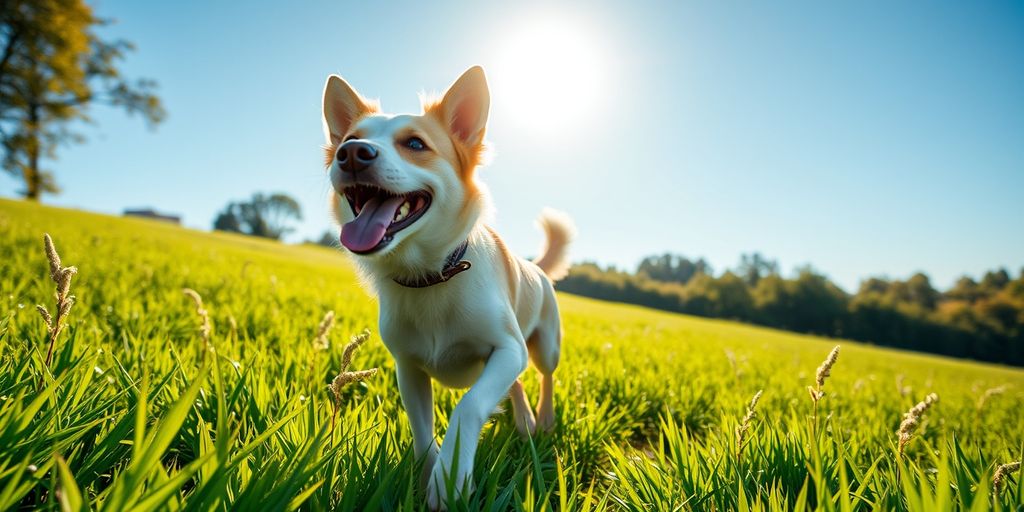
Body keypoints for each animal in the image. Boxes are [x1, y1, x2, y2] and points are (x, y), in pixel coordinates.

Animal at [319, 65, 577, 507]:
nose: (351, 154)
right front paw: (429, 477)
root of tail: (534, 267)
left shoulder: (507, 349)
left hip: (546, 345)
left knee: (543, 375)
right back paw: (524, 419)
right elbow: (422, 432)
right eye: (350, 139)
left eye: (415, 144)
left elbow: (470, 406)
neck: (431, 275)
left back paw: (542, 418)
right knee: (518, 383)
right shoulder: (408, 369)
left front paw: (451, 477)